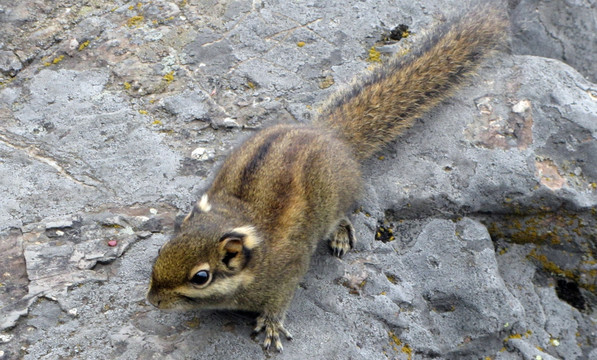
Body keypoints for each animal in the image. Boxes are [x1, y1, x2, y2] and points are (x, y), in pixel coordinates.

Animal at [146, 2, 508, 352]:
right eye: (163, 249)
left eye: (200, 277)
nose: (152, 301)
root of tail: (329, 134)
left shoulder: (286, 273)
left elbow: (279, 301)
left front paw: (272, 324)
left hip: (334, 201)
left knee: (342, 216)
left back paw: (340, 234)